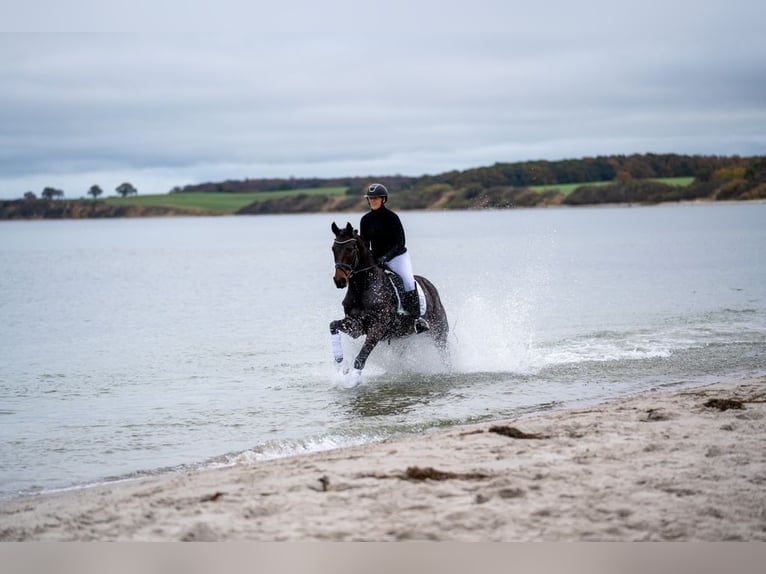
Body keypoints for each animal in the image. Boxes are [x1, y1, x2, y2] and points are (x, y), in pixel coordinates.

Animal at [330, 220, 450, 388]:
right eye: (334, 248)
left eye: (350, 249)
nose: (339, 281)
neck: (363, 287)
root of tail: (429, 286)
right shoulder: (355, 326)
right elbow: (333, 325)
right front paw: (339, 359)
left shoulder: (377, 328)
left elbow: (361, 357)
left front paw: (352, 382)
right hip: (402, 337)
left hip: (439, 333)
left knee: (444, 354)